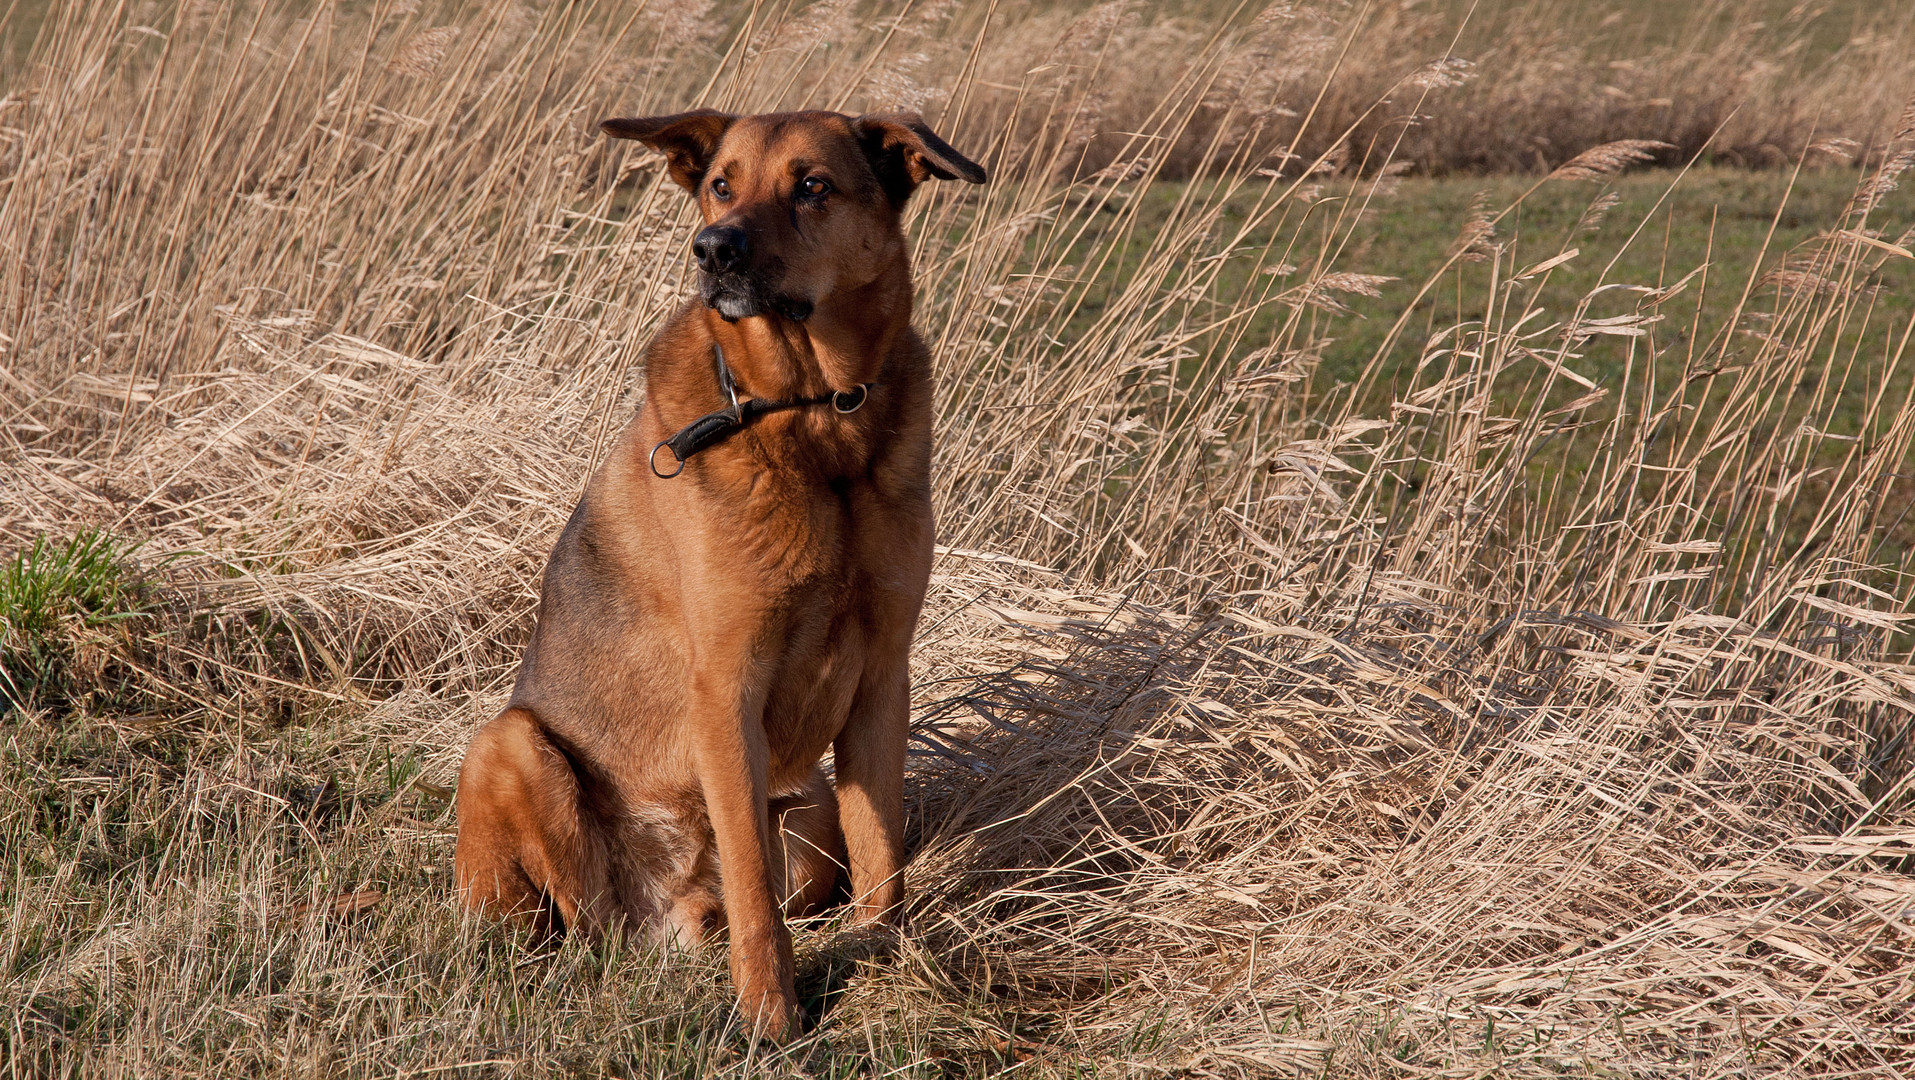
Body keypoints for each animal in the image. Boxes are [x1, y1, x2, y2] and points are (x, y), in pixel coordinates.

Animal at [450, 109, 988, 1034]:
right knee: (579, 928)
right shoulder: (726, 691)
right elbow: (751, 888)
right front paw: (770, 1020)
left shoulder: (883, 681)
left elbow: (883, 861)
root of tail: (665, 915)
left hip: (806, 806)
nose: (713, 249)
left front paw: (890, 967)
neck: (813, 416)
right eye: (720, 185)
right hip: (509, 749)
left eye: (813, 186)